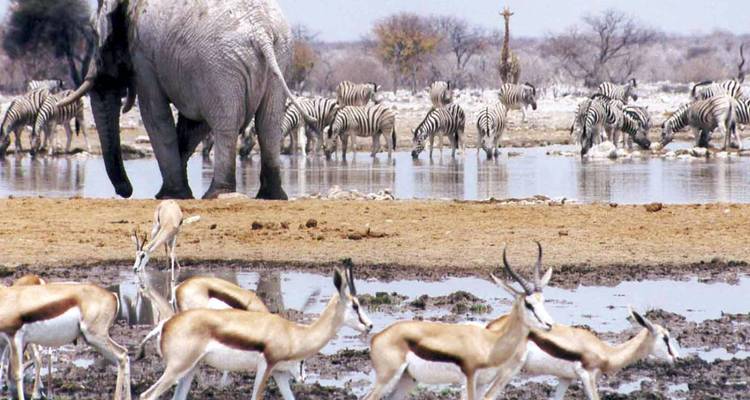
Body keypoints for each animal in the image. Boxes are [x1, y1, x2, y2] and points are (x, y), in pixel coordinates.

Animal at [59, 0, 313, 199]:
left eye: (94, 33)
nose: (125, 191)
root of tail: (261, 33)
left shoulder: (144, 55)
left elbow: (155, 115)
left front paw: (171, 195)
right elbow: (192, 126)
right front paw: (173, 192)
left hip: (220, 67)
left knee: (226, 125)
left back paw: (216, 194)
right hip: (279, 59)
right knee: (268, 124)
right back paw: (271, 196)